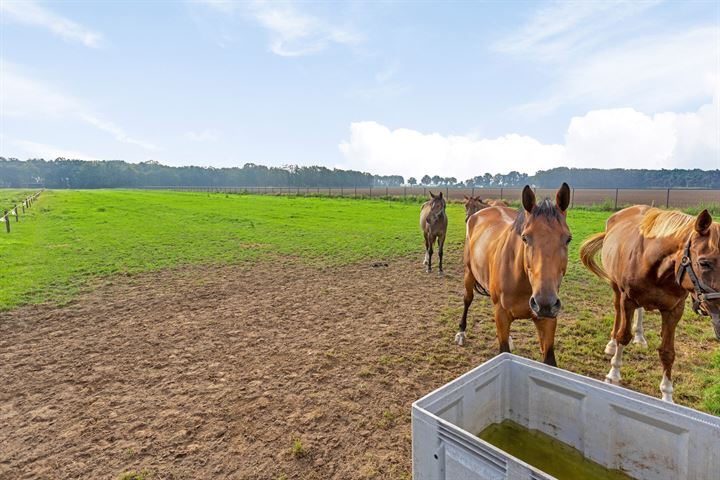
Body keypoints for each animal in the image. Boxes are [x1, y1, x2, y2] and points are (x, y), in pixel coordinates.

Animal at [458, 182, 572, 366]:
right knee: (467, 299)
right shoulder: (501, 314)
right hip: (469, 273)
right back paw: (461, 332)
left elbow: (549, 361)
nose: (544, 303)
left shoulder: (548, 320)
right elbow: (503, 350)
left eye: (568, 239)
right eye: (525, 238)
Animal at [580, 205, 720, 402]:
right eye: (704, 263)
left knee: (640, 312)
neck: (657, 268)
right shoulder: (628, 299)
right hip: (616, 287)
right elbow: (624, 336)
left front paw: (667, 395)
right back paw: (612, 344)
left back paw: (640, 337)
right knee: (617, 312)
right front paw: (614, 373)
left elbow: (668, 352)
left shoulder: (674, 310)